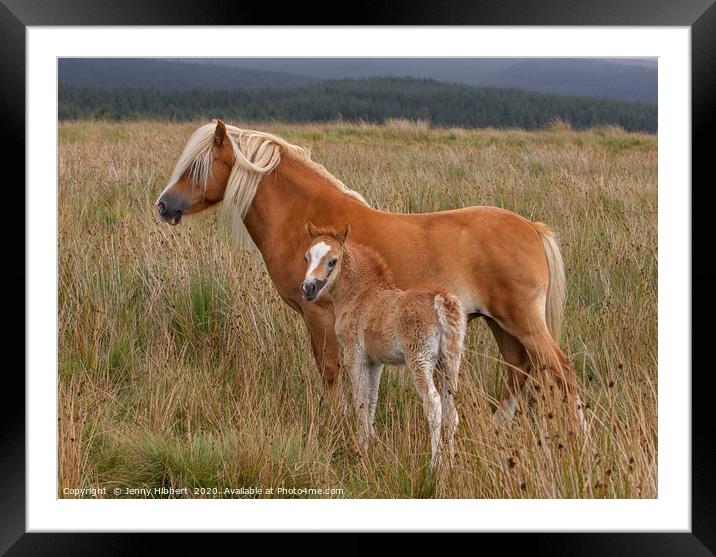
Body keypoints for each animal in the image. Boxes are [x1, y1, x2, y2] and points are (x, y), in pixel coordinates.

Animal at [157, 119, 580, 424]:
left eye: (197, 167)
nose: (163, 205)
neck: (309, 222)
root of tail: (532, 228)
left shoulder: (317, 316)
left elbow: (330, 371)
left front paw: (334, 426)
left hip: (522, 320)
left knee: (561, 370)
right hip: (500, 323)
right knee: (519, 371)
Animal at [300, 222, 468, 464]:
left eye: (332, 261)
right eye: (306, 257)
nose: (308, 288)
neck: (361, 294)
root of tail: (440, 299)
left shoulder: (354, 354)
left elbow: (360, 400)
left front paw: (361, 450)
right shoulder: (375, 361)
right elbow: (372, 399)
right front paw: (372, 445)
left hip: (420, 360)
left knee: (433, 405)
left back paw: (435, 465)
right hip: (450, 361)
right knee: (451, 411)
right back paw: (451, 463)